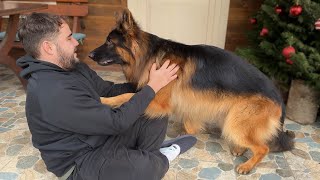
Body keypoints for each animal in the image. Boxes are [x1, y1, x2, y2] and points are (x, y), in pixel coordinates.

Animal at [89, 9, 294, 174]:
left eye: (110, 42)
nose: (89, 55)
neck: (151, 54)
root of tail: (279, 97)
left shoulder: (158, 102)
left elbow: (126, 96)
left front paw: (104, 100)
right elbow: (189, 122)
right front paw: (189, 131)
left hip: (234, 123)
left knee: (263, 147)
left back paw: (247, 165)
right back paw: (241, 149)